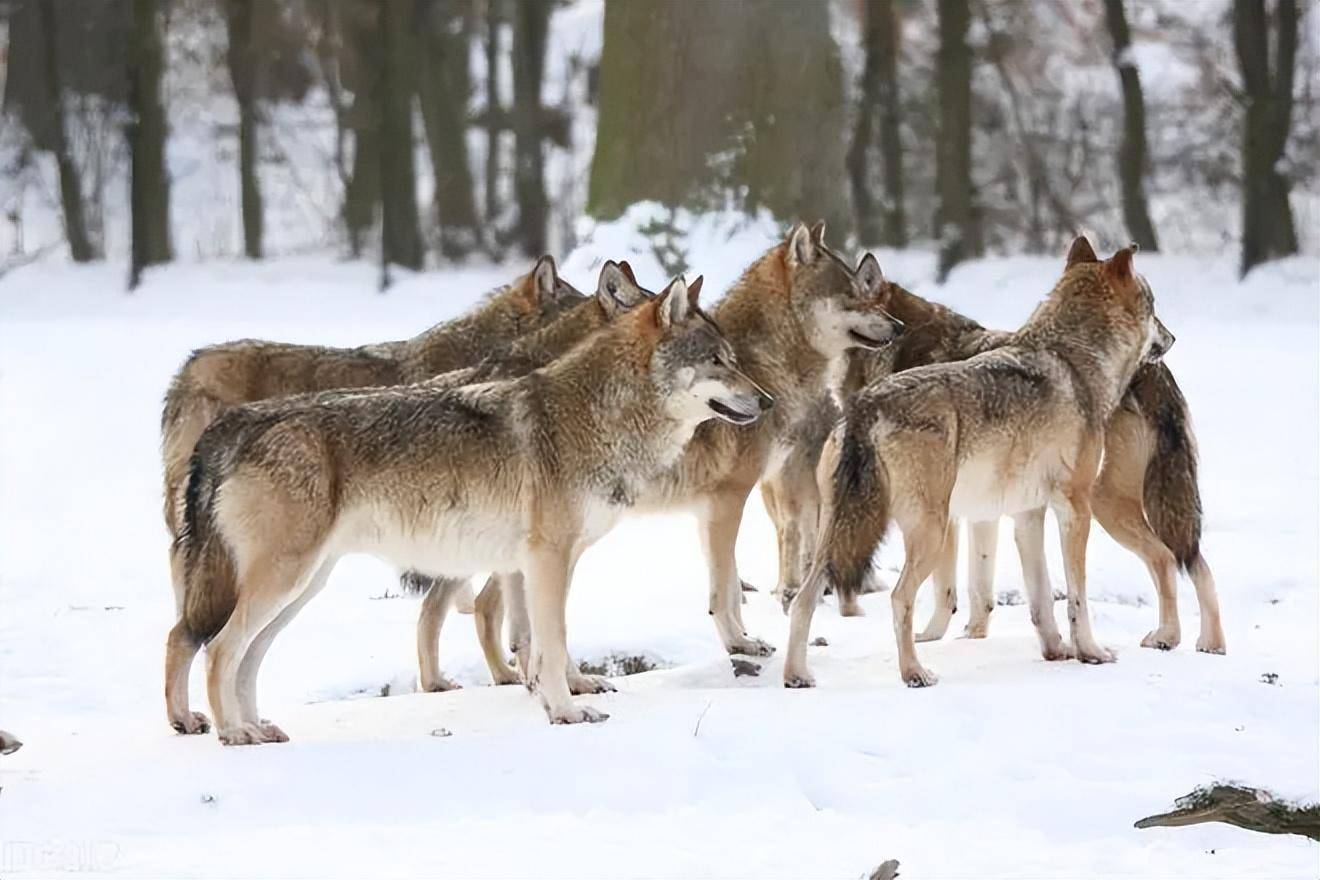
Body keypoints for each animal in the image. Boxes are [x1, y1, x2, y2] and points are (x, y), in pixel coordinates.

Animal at [165, 277, 770, 744]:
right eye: (717, 361)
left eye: (734, 360)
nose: (767, 401)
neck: (598, 415)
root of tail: (234, 428)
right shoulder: (548, 559)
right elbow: (550, 643)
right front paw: (567, 711)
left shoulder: (542, 564)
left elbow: (542, 642)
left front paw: (562, 694)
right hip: (281, 583)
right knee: (216, 649)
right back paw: (233, 733)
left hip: (301, 589)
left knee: (241, 657)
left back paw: (257, 727)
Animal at [464, 221, 908, 686]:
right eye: (853, 295)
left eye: (866, 291)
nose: (899, 327)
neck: (767, 365)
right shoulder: (729, 498)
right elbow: (725, 588)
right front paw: (739, 643)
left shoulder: (709, 508)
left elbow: (727, 582)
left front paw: (745, 638)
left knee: (487, 607)